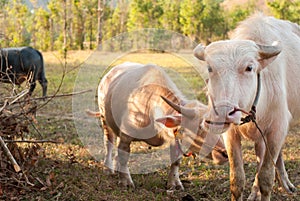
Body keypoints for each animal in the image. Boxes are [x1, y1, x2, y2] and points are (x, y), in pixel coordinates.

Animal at [193, 13, 298, 200]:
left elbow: (266, 177)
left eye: (249, 67)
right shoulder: (230, 135)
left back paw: (285, 183)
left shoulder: (277, 129)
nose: (222, 114)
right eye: (210, 68)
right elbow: (237, 179)